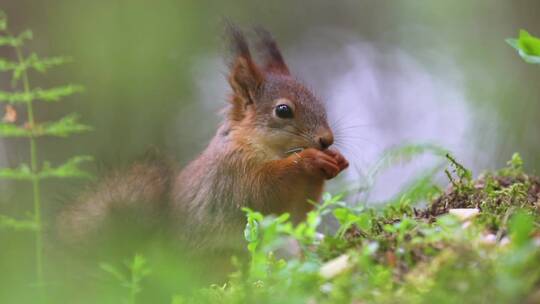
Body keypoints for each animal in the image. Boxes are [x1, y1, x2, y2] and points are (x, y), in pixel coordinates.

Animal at [57, 26, 348, 254]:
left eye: (319, 101)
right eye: (283, 110)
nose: (326, 140)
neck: (267, 148)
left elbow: (298, 212)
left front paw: (336, 160)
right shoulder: (231, 173)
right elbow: (263, 191)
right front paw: (308, 160)